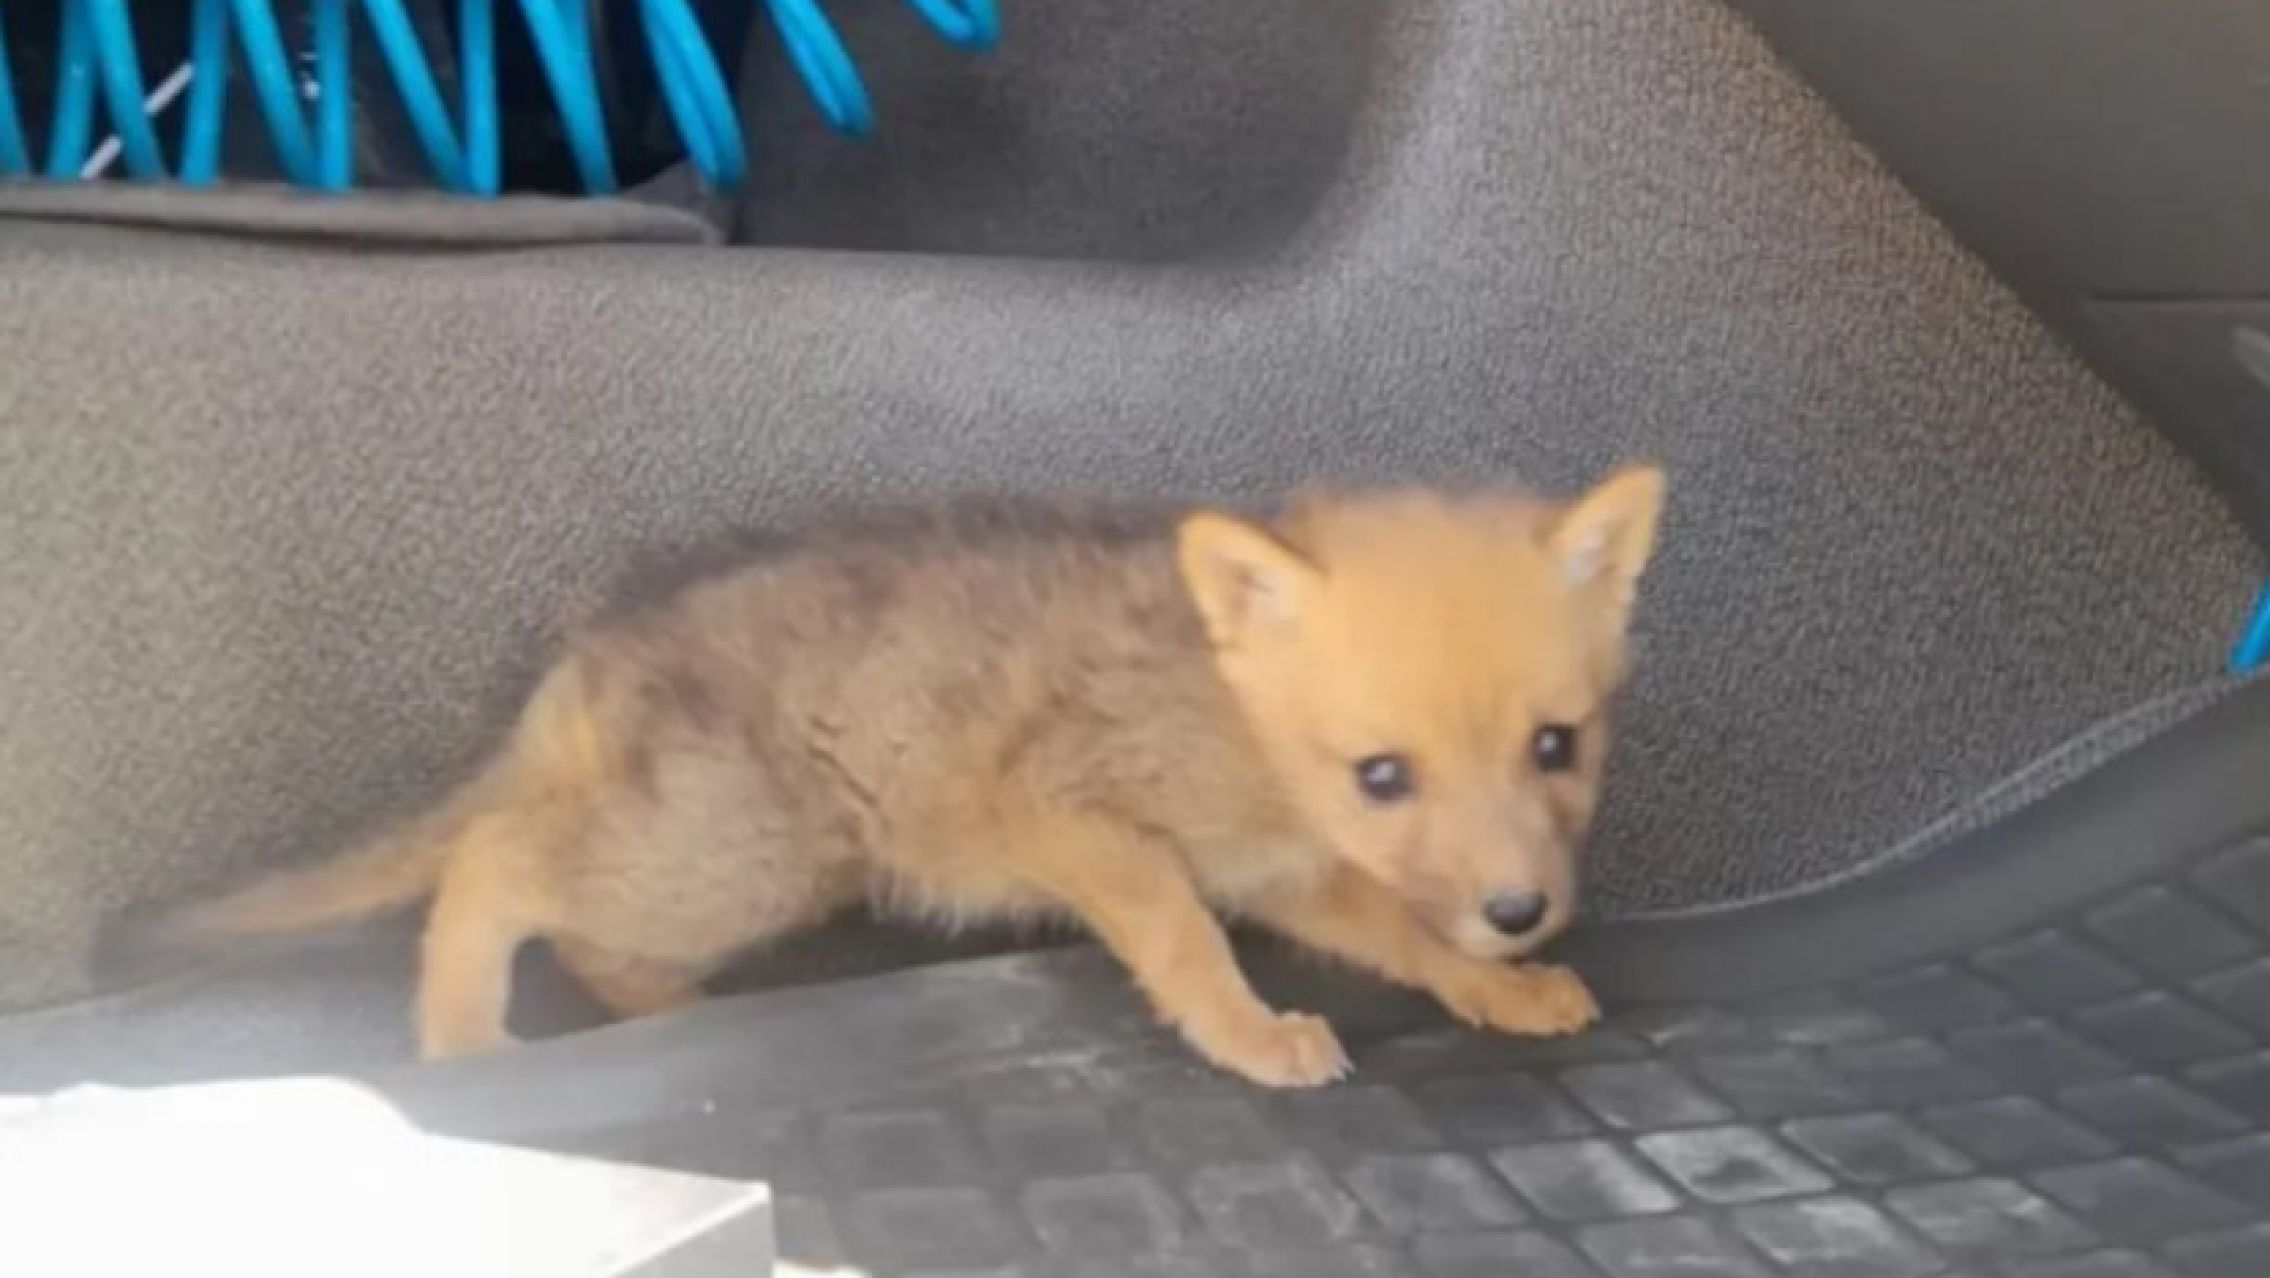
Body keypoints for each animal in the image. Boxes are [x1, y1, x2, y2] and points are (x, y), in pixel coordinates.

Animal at [158, 466, 1665, 1087]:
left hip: (729, 869)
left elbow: (1412, 941)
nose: (1526, 909)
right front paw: (1249, 1039)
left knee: (583, 928)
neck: (1236, 726)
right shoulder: (1080, 817)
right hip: (730, 858)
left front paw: (1504, 985)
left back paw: (664, 1015)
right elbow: (1185, 944)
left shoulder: (1297, 875)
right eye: (1380, 772)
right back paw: (462, 1040)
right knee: (495, 864)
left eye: (1556, 745)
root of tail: (596, 654)